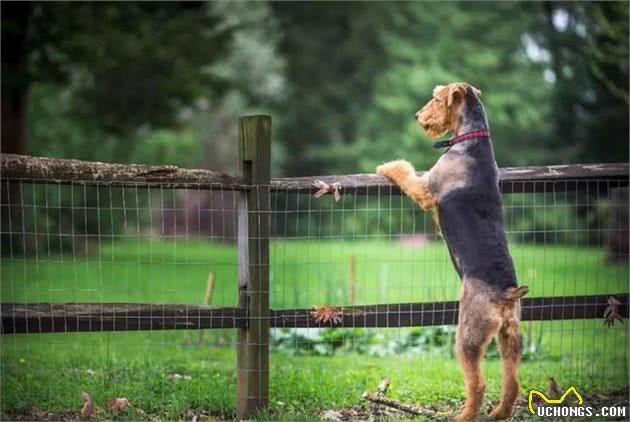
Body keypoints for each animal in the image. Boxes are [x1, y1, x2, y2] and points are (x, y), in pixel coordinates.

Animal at [378, 81, 532, 418]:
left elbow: (405, 172)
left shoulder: (425, 189)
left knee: (477, 383)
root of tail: (506, 293)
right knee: (512, 381)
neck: (472, 142)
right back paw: (499, 413)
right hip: (511, 334)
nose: (418, 116)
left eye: (437, 98)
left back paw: (463, 416)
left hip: (468, 335)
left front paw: (387, 165)